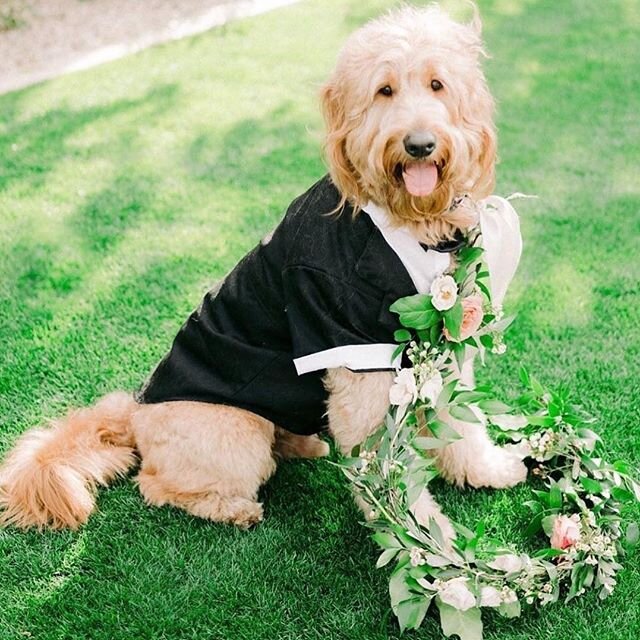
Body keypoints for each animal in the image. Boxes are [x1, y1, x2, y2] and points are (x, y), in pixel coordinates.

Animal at [0, 3, 528, 536]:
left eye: (438, 85)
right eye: (385, 91)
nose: (419, 144)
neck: (405, 219)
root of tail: (134, 410)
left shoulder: (444, 344)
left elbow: (461, 421)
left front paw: (488, 470)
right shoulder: (353, 352)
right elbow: (385, 469)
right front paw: (429, 547)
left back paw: (301, 443)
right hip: (234, 435)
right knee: (155, 484)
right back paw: (231, 507)